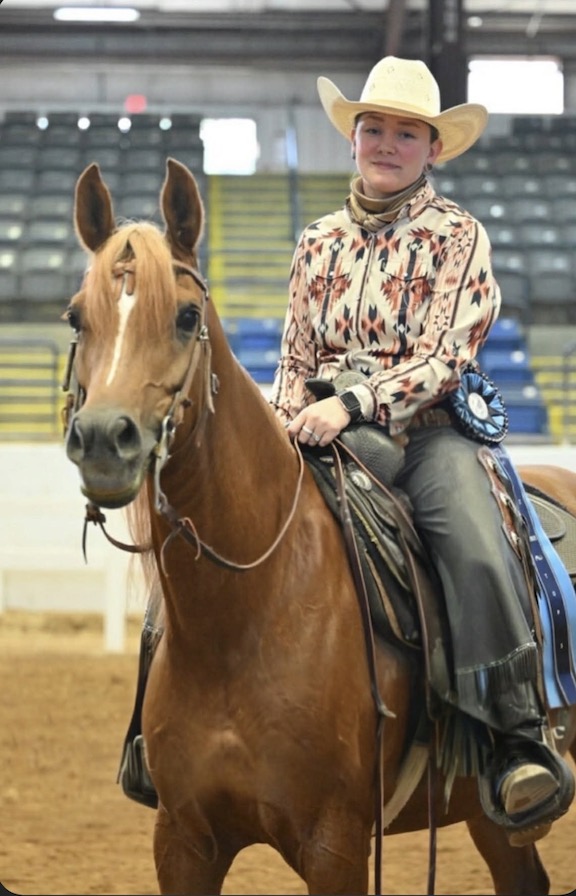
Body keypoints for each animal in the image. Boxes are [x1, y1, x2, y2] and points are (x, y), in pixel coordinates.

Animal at [62, 158, 576, 895]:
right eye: (78, 316)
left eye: (187, 316)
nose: (106, 439)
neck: (244, 614)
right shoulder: (183, 842)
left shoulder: (335, 846)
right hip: (489, 816)